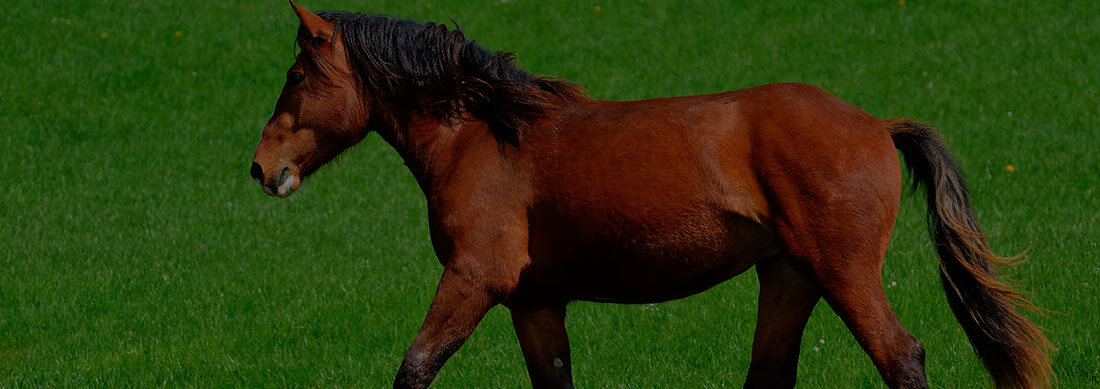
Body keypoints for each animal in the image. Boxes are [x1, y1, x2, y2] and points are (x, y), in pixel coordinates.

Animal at [251, 2, 1056, 386]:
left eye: (297, 75)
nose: (261, 168)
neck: (485, 136)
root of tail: (876, 124)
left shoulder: (475, 278)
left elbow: (414, 368)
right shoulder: (534, 302)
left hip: (844, 274)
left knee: (903, 357)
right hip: (789, 277)